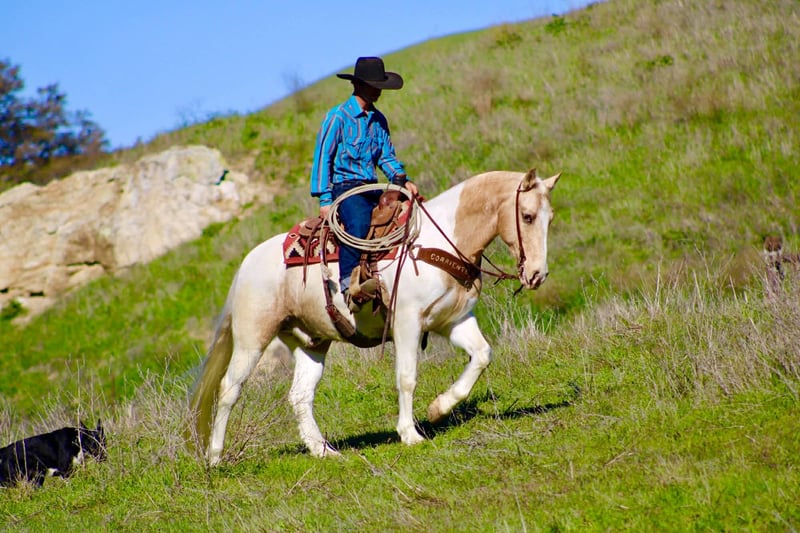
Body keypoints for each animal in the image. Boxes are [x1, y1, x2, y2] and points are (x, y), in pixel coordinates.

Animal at [189, 168, 561, 464]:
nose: (538, 274)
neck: (440, 242)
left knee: (300, 395)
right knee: (229, 389)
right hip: (253, 339)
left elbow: (482, 355)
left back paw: (323, 450)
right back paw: (216, 457)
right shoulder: (407, 323)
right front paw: (410, 433)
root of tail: (247, 263)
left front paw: (438, 409)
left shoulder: (453, 321)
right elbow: (407, 376)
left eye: (550, 218)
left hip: (310, 342)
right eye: (528, 216)